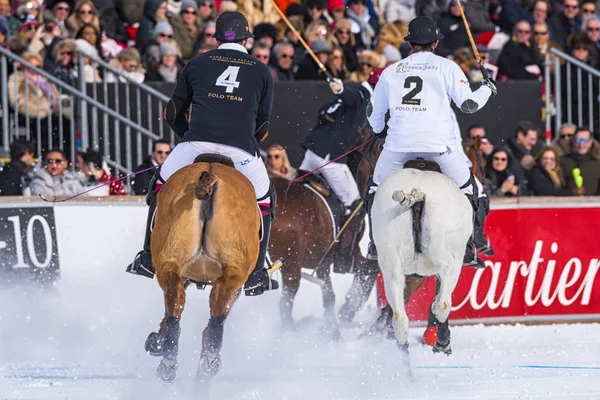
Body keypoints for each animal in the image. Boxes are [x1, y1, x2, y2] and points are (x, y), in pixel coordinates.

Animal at [143, 155, 264, 386]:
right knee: (219, 302)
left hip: (171, 259)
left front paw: (158, 339)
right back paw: (208, 358)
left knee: (175, 297)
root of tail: (210, 172)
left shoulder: (184, 273)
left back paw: (169, 359)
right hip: (235, 269)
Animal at [370, 161, 474, 360]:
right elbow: (439, 299)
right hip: (450, 260)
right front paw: (441, 343)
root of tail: (416, 195)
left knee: (399, 317)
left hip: (391, 262)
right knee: (442, 304)